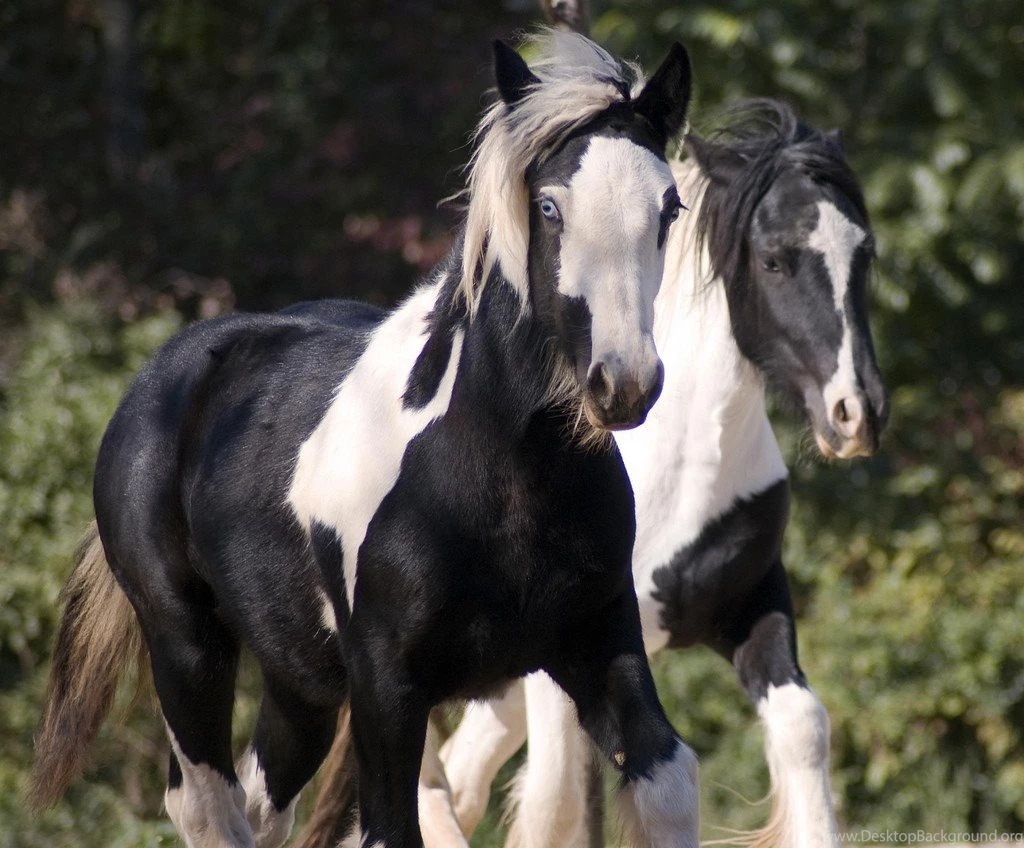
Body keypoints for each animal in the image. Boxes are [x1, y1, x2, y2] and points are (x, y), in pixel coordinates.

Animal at [29, 31, 699, 848]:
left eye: (669, 206)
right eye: (548, 205)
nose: (624, 383)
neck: (499, 476)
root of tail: (166, 375)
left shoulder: (598, 640)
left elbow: (667, 783)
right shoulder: (387, 684)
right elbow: (389, 826)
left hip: (300, 680)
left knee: (260, 802)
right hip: (186, 644)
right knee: (208, 804)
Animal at [297, 100, 889, 848]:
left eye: (864, 254)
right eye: (775, 259)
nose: (857, 412)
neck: (679, 470)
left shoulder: (746, 606)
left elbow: (802, 728)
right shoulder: (561, 658)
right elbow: (559, 802)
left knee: (461, 777)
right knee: (437, 784)